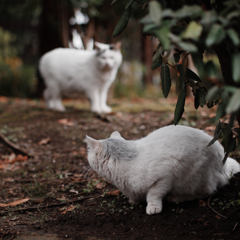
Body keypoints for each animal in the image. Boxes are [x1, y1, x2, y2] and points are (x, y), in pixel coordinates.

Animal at [86, 125, 240, 216]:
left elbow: (153, 195)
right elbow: (135, 196)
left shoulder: (164, 178)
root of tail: (224, 165)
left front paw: (153, 207)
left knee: (206, 192)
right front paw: (133, 200)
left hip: (197, 176)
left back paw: (176, 198)